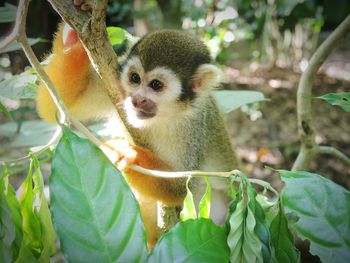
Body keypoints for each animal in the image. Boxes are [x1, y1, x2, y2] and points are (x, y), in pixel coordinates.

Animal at [38, 0, 241, 248]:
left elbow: (183, 185)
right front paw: (73, 37)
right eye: (134, 78)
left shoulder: (193, 128)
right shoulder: (114, 86)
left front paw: (130, 154)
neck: (167, 114)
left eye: (156, 85)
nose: (137, 100)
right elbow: (56, 106)